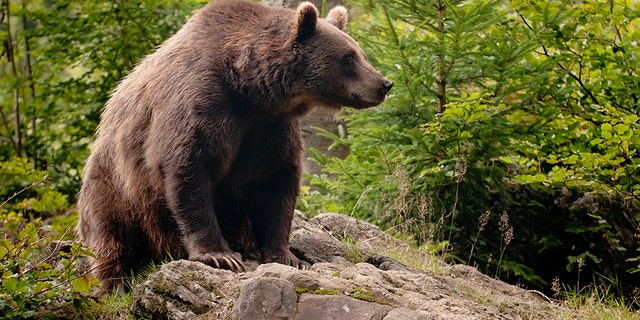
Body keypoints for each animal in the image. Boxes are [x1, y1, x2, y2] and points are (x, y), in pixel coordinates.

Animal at [77, 0, 392, 292]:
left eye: (360, 53)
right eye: (348, 57)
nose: (384, 83)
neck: (249, 89)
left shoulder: (270, 129)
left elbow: (277, 183)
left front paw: (288, 256)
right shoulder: (202, 102)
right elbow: (189, 169)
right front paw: (220, 255)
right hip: (115, 187)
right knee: (111, 237)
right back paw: (114, 283)